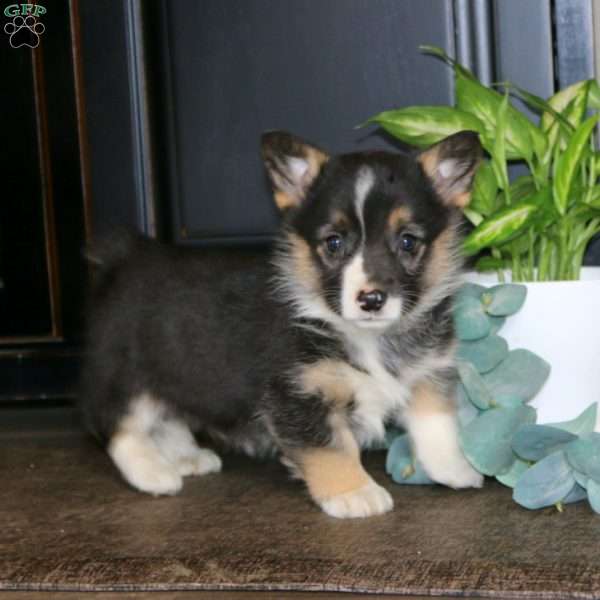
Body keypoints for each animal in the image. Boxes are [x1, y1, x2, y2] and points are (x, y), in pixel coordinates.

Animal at [81, 129, 482, 516]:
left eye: (408, 241)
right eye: (333, 242)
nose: (371, 300)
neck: (369, 336)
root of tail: (127, 256)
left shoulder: (429, 372)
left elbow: (437, 425)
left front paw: (456, 470)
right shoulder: (298, 395)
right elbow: (333, 448)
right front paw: (354, 493)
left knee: (170, 415)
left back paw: (184, 457)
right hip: (129, 376)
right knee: (117, 426)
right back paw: (153, 473)